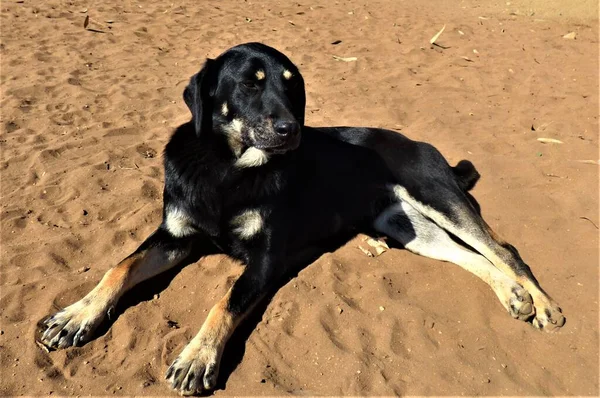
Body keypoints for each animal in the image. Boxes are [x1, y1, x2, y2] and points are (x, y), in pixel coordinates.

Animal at [39, 43, 564, 394]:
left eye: (295, 88)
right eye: (249, 83)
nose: (291, 130)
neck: (228, 167)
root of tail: (422, 144)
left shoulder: (267, 259)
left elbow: (225, 301)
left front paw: (197, 357)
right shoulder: (174, 235)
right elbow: (119, 267)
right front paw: (75, 315)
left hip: (436, 193)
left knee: (504, 249)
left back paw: (542, 305)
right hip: (408, 227)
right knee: (468, 256)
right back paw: (513, 296)